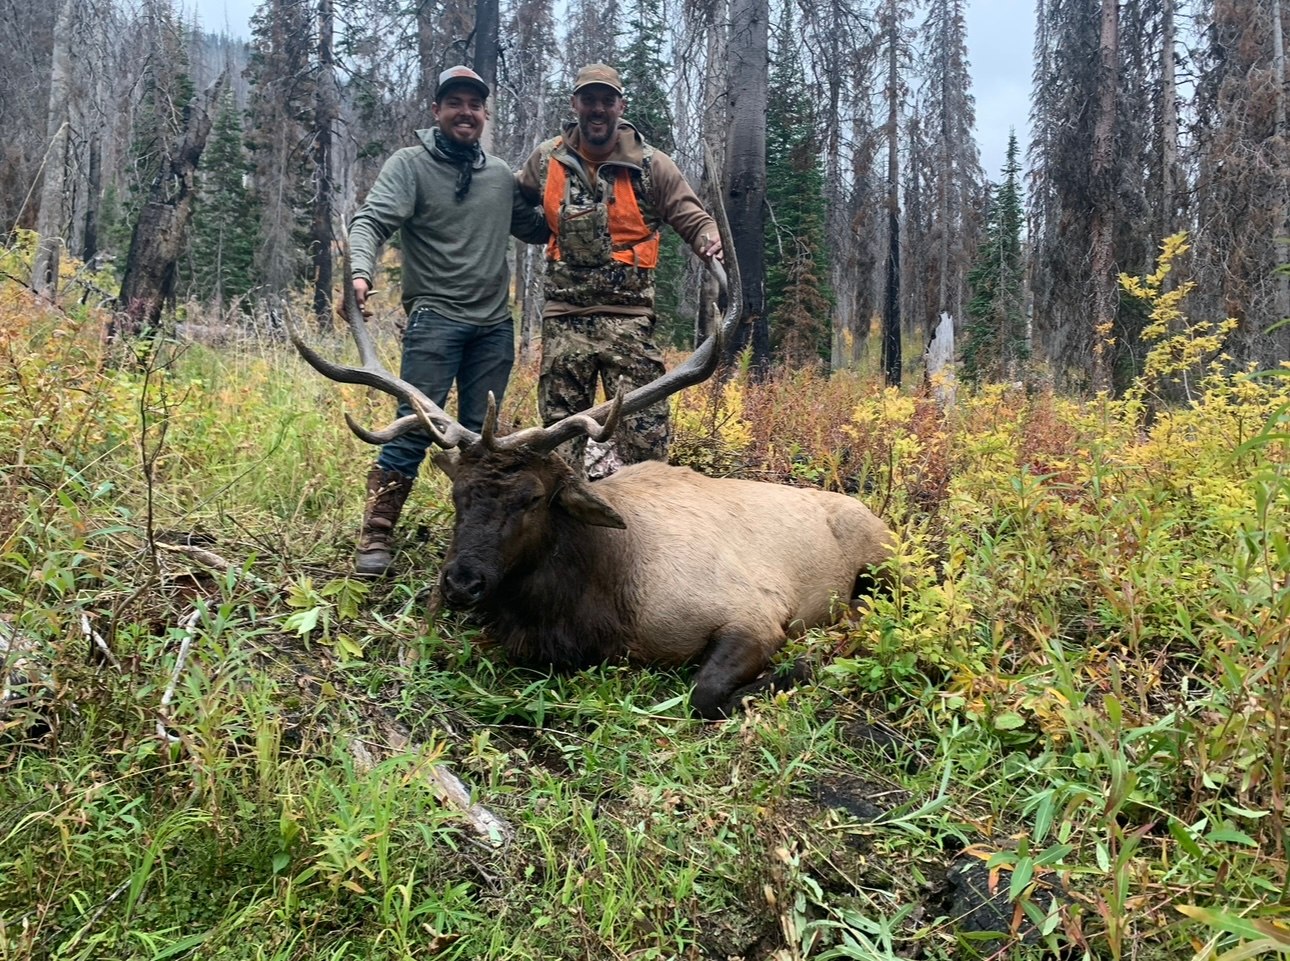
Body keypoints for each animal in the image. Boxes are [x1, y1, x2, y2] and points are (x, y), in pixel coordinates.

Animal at [292, 259, 897, 717]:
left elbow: (704, 693)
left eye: (533, 498)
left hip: (883, 563)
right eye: (457, 494)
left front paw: (802, 665)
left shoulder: (757, 612)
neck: (598, 608)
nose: (462, 582)